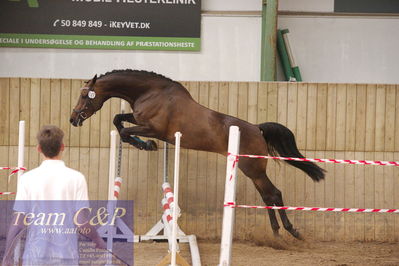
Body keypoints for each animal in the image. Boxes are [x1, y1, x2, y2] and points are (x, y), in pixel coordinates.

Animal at [69, 69, 324, 239]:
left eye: (84, 96)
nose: (72, 119)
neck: (151, 92)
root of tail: (257, 128)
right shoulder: (139, 119)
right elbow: (118, 120)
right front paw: (144, 144)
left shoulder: (154, 128)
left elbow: (124, 131)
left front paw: (146, 145)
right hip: (251, 170)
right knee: (267, 196)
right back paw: (277, 234)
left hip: (253, 169)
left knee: (274, 194)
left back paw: (291, 231)